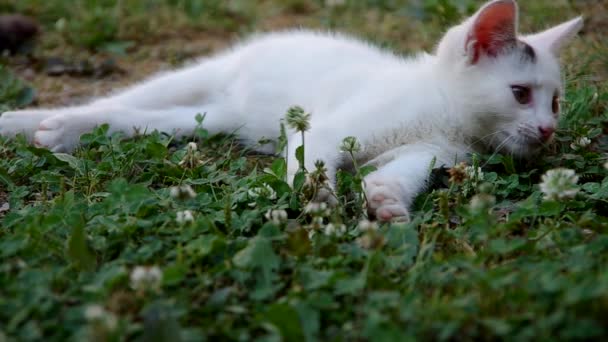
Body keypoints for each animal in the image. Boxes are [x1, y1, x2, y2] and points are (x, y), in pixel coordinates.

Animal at [0, 0, 584, 222]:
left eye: (555, 100)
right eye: (520, 93)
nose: (547, 130)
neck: (442, 108)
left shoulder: (434, 149)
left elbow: (403, 172)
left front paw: (387, 201)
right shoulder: (331, 126)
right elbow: (313, 157)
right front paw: (318, 196)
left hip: (217, 118)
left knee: (139, 119)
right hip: (199, 78)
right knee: (113, 102)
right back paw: (49, 126)